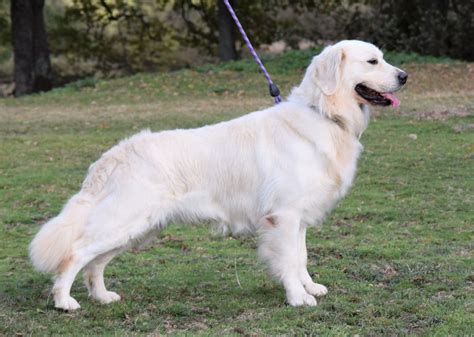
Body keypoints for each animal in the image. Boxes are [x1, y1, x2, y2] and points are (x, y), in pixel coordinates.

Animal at [29, 38, 408, 308]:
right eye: (372, 61)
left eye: (383, 58)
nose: (405, 76)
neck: (325, 115)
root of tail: (116, 153)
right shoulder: (283, 216)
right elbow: (288, 260)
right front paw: (298, 298)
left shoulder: (297, 218)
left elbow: (300, 257)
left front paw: (309, 287)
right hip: (124, 221)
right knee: (76, 254)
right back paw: (64, 301)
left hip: (136, 228)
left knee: (95, 263)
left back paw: (102, 297)